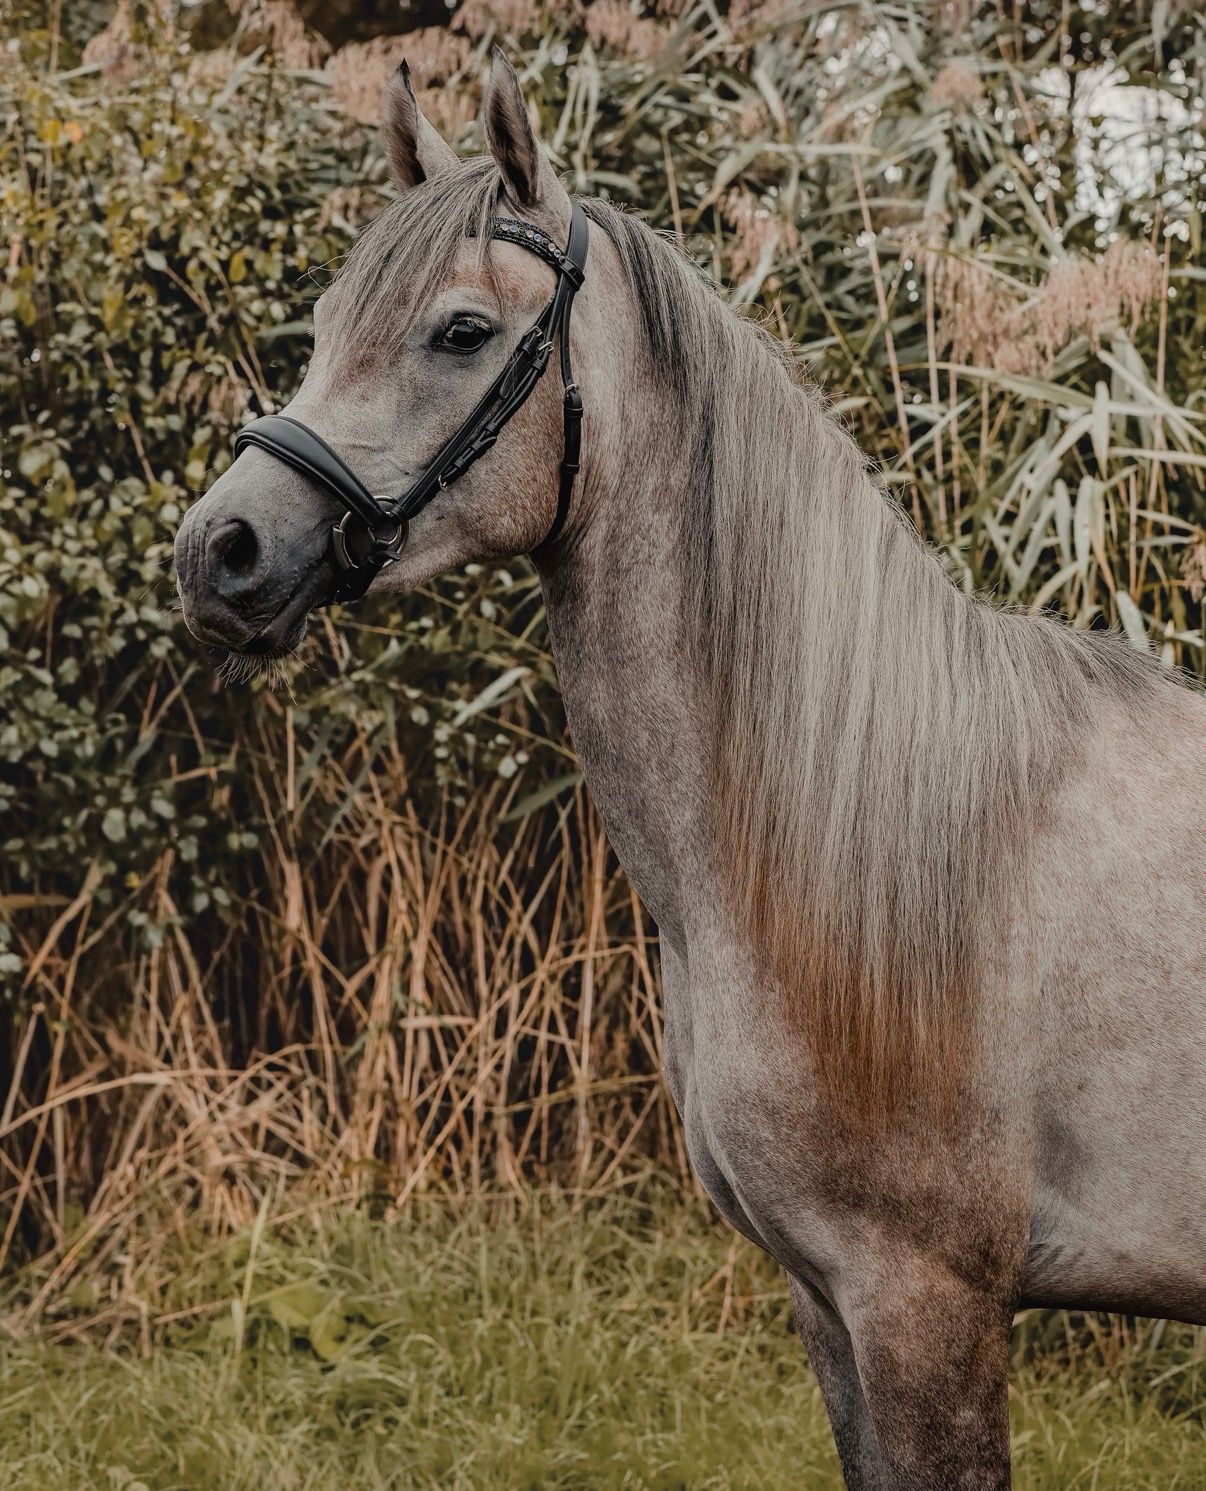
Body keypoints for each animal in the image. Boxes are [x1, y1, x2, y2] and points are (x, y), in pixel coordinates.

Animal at [174, 51, 1206, 1491]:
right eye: (325, 323)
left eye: (460, 333)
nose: (219, 552)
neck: (854, 839)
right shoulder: (827, 1301)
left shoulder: (926, 1299)